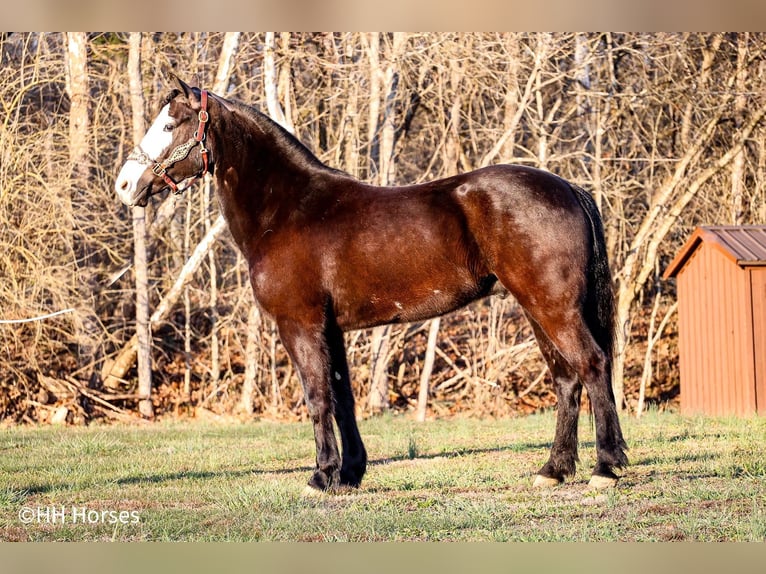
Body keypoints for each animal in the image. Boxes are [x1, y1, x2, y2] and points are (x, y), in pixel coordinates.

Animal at [115, 75, 627, 493]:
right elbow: (343, 398)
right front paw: (349, 474)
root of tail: (568, 188)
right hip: (537, 307)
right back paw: (553, 470)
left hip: (553, 306)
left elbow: (317, 395)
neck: (288, 209)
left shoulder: (300, 324)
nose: (123, 185)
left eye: (169, 125)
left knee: (593, 365)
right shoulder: (331, 329)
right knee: (566, 378)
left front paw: (321, 476)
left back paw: (605, 467)